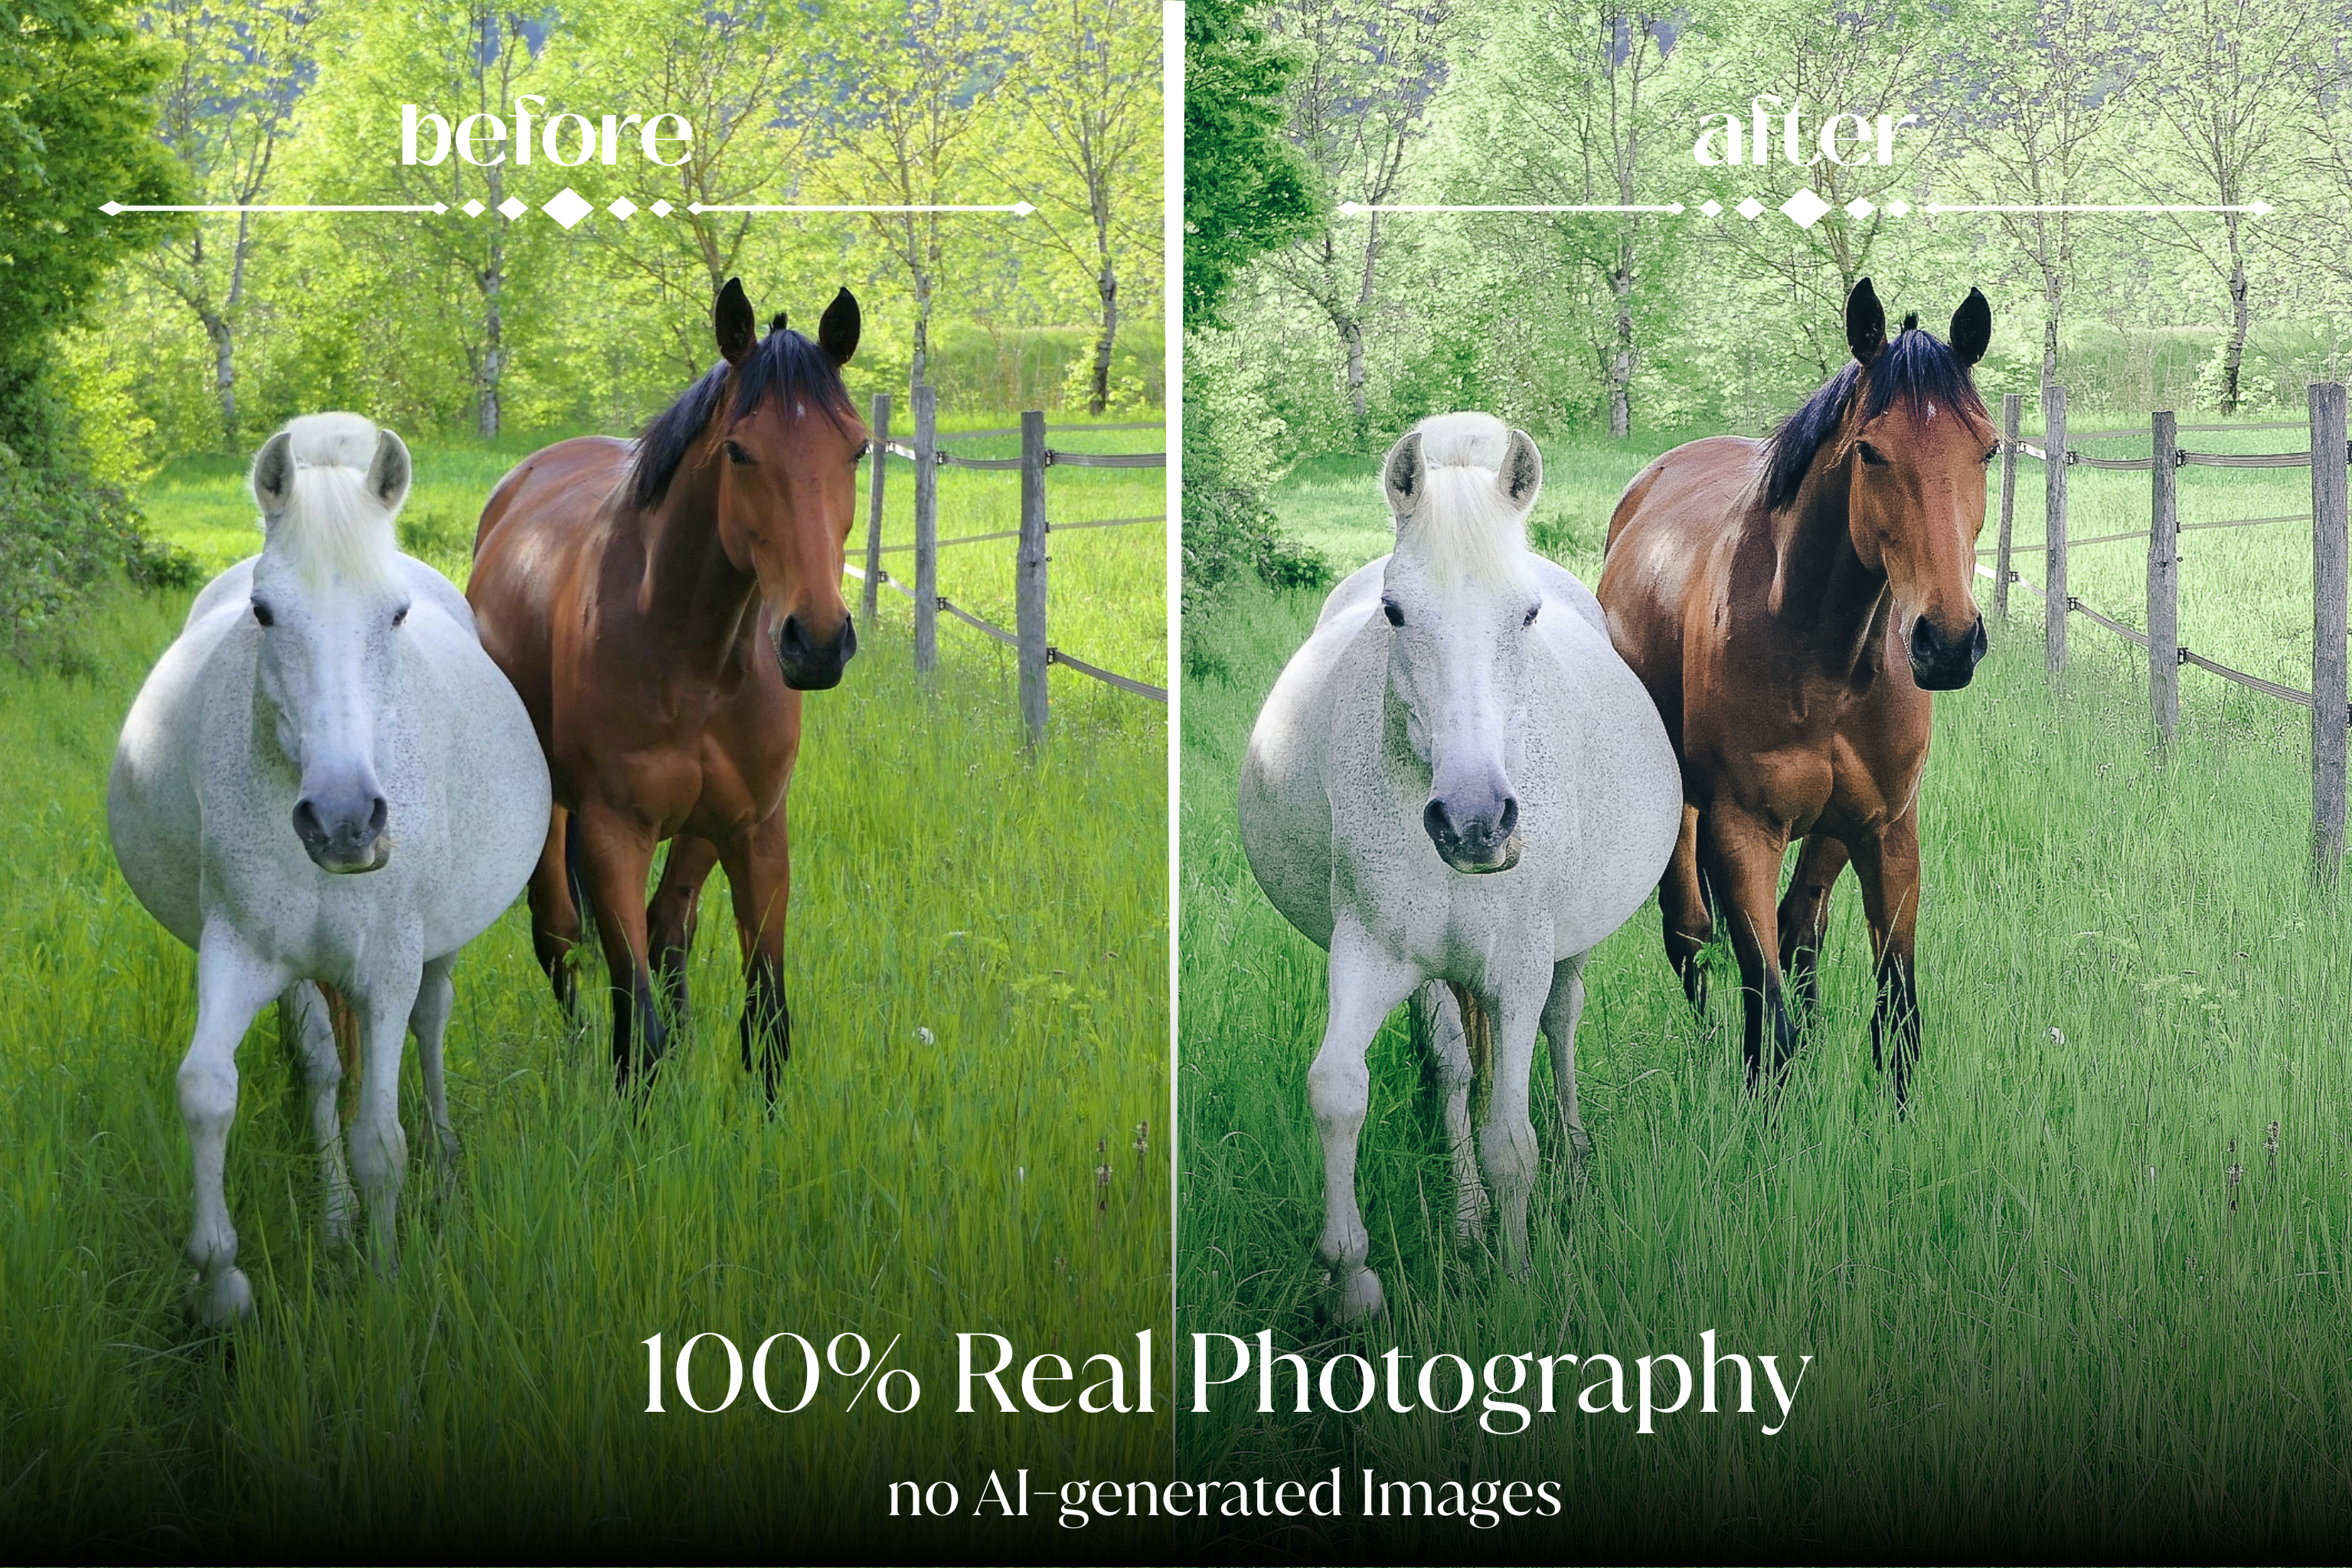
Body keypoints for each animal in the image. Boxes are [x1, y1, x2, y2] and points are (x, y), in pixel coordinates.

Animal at [108, 413, 551, 1324]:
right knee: (320, 1067)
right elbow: (208, 1089)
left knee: (432, 1025)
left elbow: (381, 1138)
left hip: (435, 953)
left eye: (397, 614)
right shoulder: (239, 951)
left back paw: (446, 1156)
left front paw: (384, 1285)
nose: (345, 820)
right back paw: (337, 1214)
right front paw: (222, 1281)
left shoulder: (387, 968)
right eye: (264, 611)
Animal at [466, 279, 867, 1097]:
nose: (815, 642)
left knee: (669, 925)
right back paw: (577, 1053)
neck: (691, 654)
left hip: (701, 828)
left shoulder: (755, 830)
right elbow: (638, 1030)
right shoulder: (612, 833)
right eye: (739, 452)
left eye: (859, 448)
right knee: (560, 936)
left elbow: (766, 1024)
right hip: (555, 813)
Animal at [1239, 412, 1682, 1320]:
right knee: (1450, 1064)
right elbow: (1339, 1090)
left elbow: (1512, 1136)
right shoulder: (1369, 951)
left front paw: (1515, 1281)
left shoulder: (1518, 969)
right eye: (1395, 611)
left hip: (1565, 953)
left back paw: (1577, 1156)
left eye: (1527, 613)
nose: (1476, 822)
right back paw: (1468, 1215)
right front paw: (1353, 1276)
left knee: (1562, 1027)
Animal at [1596, 277, 1996, 1108]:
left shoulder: (1886, 829)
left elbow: (1896, 1019)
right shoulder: (1743, 832)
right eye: (1871, 451)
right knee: (1691, 934)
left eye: (1989, 447)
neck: (1821, 653)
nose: (1946, 642)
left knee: (1799, 924)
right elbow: (1768, 1016)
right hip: (1684, 810)